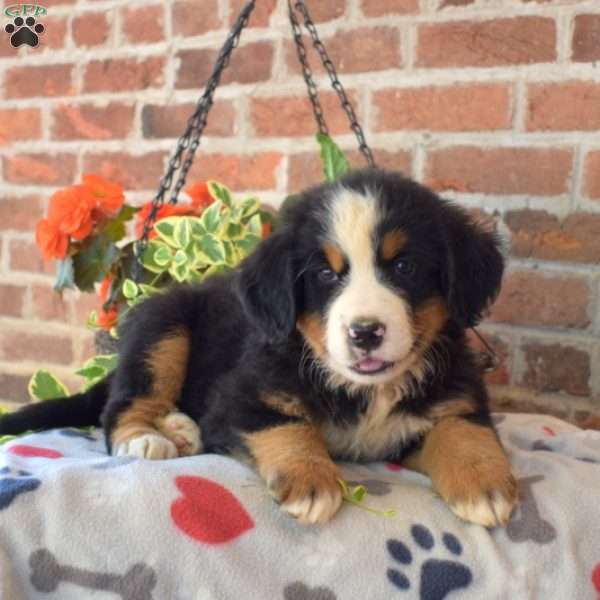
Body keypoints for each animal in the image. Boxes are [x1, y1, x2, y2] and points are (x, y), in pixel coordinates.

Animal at [0, 168, 516, 524]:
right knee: (122, 404)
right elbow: (283, 425)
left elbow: (462, 430)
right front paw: (310, 480)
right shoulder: (240, 397)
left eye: (404, 267)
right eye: (325, 274)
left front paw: (483, 484)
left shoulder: (454, 395)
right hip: (162, 326)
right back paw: (148, 437)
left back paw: (181, 429)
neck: (364, 391)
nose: (365, 332)